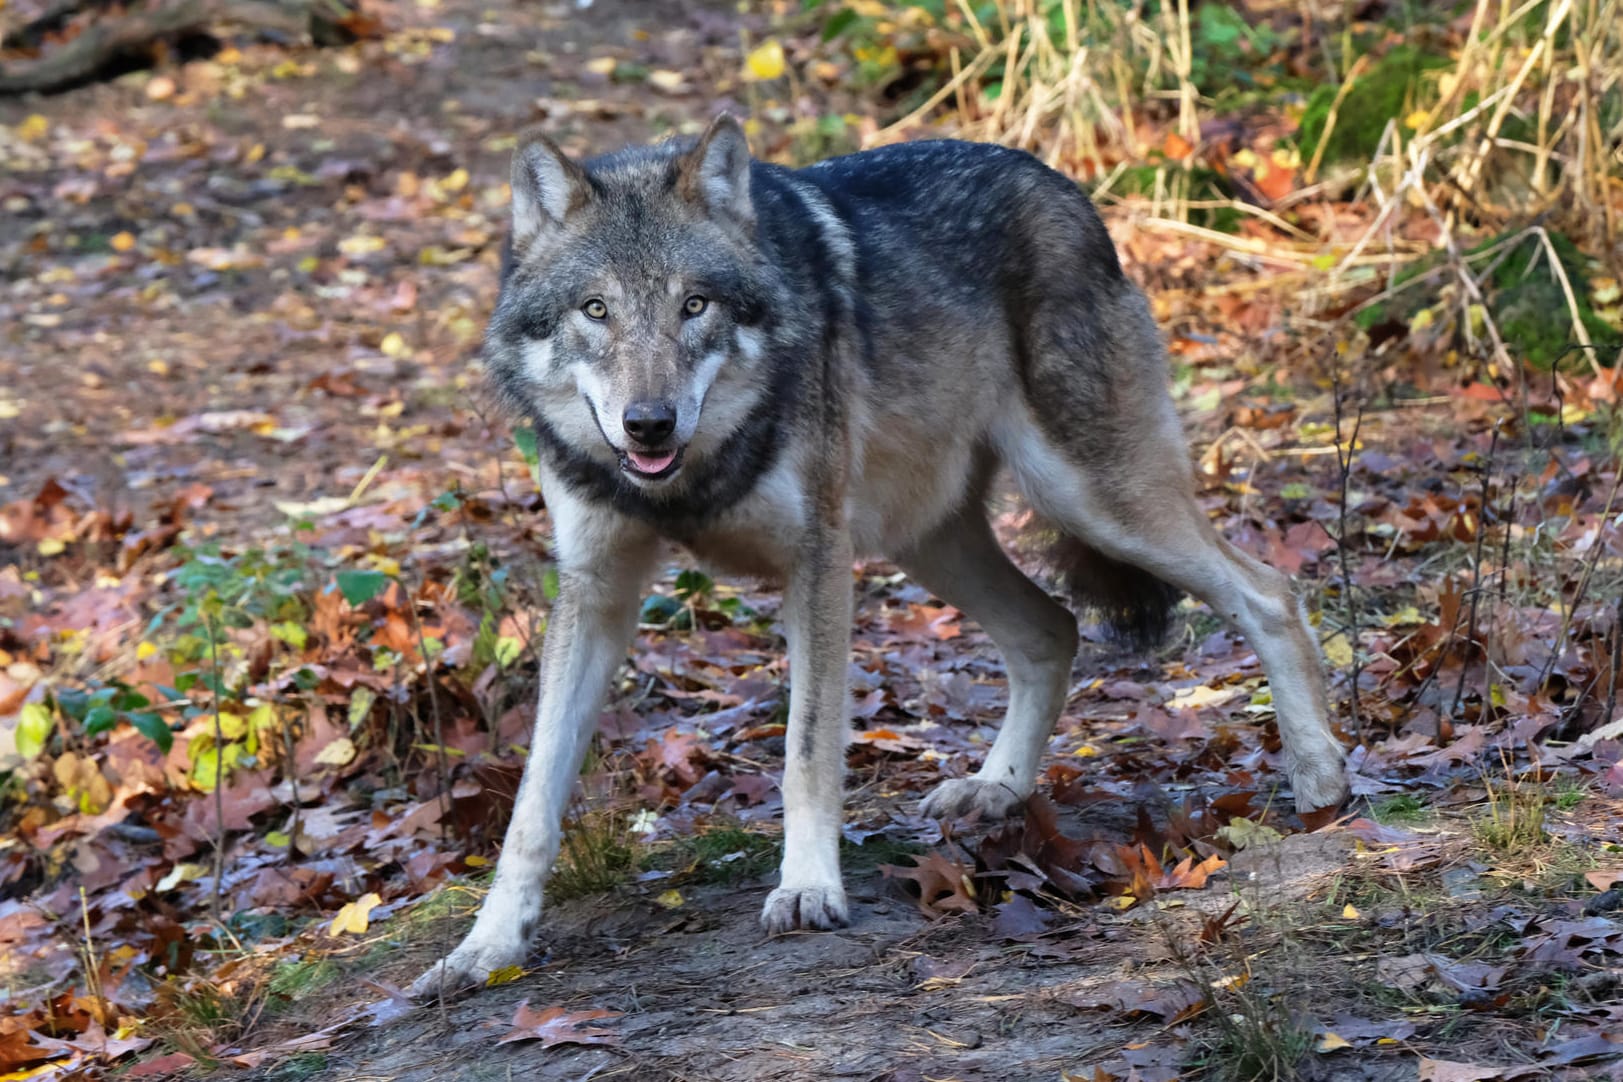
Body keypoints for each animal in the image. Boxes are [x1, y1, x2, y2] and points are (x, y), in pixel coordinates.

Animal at [412, 116, 1350, 999]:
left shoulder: (817, 564)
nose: (648, 424)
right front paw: (484, 948)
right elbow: (532, 802)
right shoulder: (596, 590)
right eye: (595, 309)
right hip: (929, 537)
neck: (687, 482)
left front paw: (806, 889)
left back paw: (1320, 780)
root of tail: (1057, 183)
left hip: (1090, 499)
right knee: (1050, 628)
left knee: (1268, 591)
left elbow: (805, 753)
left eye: (695, 305)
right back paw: (998, 789)